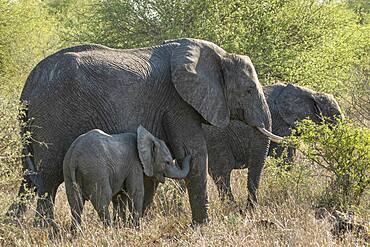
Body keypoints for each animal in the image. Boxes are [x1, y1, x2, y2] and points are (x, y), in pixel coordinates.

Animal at [7, 37, 282, 225]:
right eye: (248, 90)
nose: (246, 210)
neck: (219, 55)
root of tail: (29, 83)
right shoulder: (177, 102)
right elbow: (196, 151)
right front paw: (203, 226)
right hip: (54, 116)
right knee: (48, 176)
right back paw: (46, 230)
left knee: (30, 175)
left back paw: (18, 226)